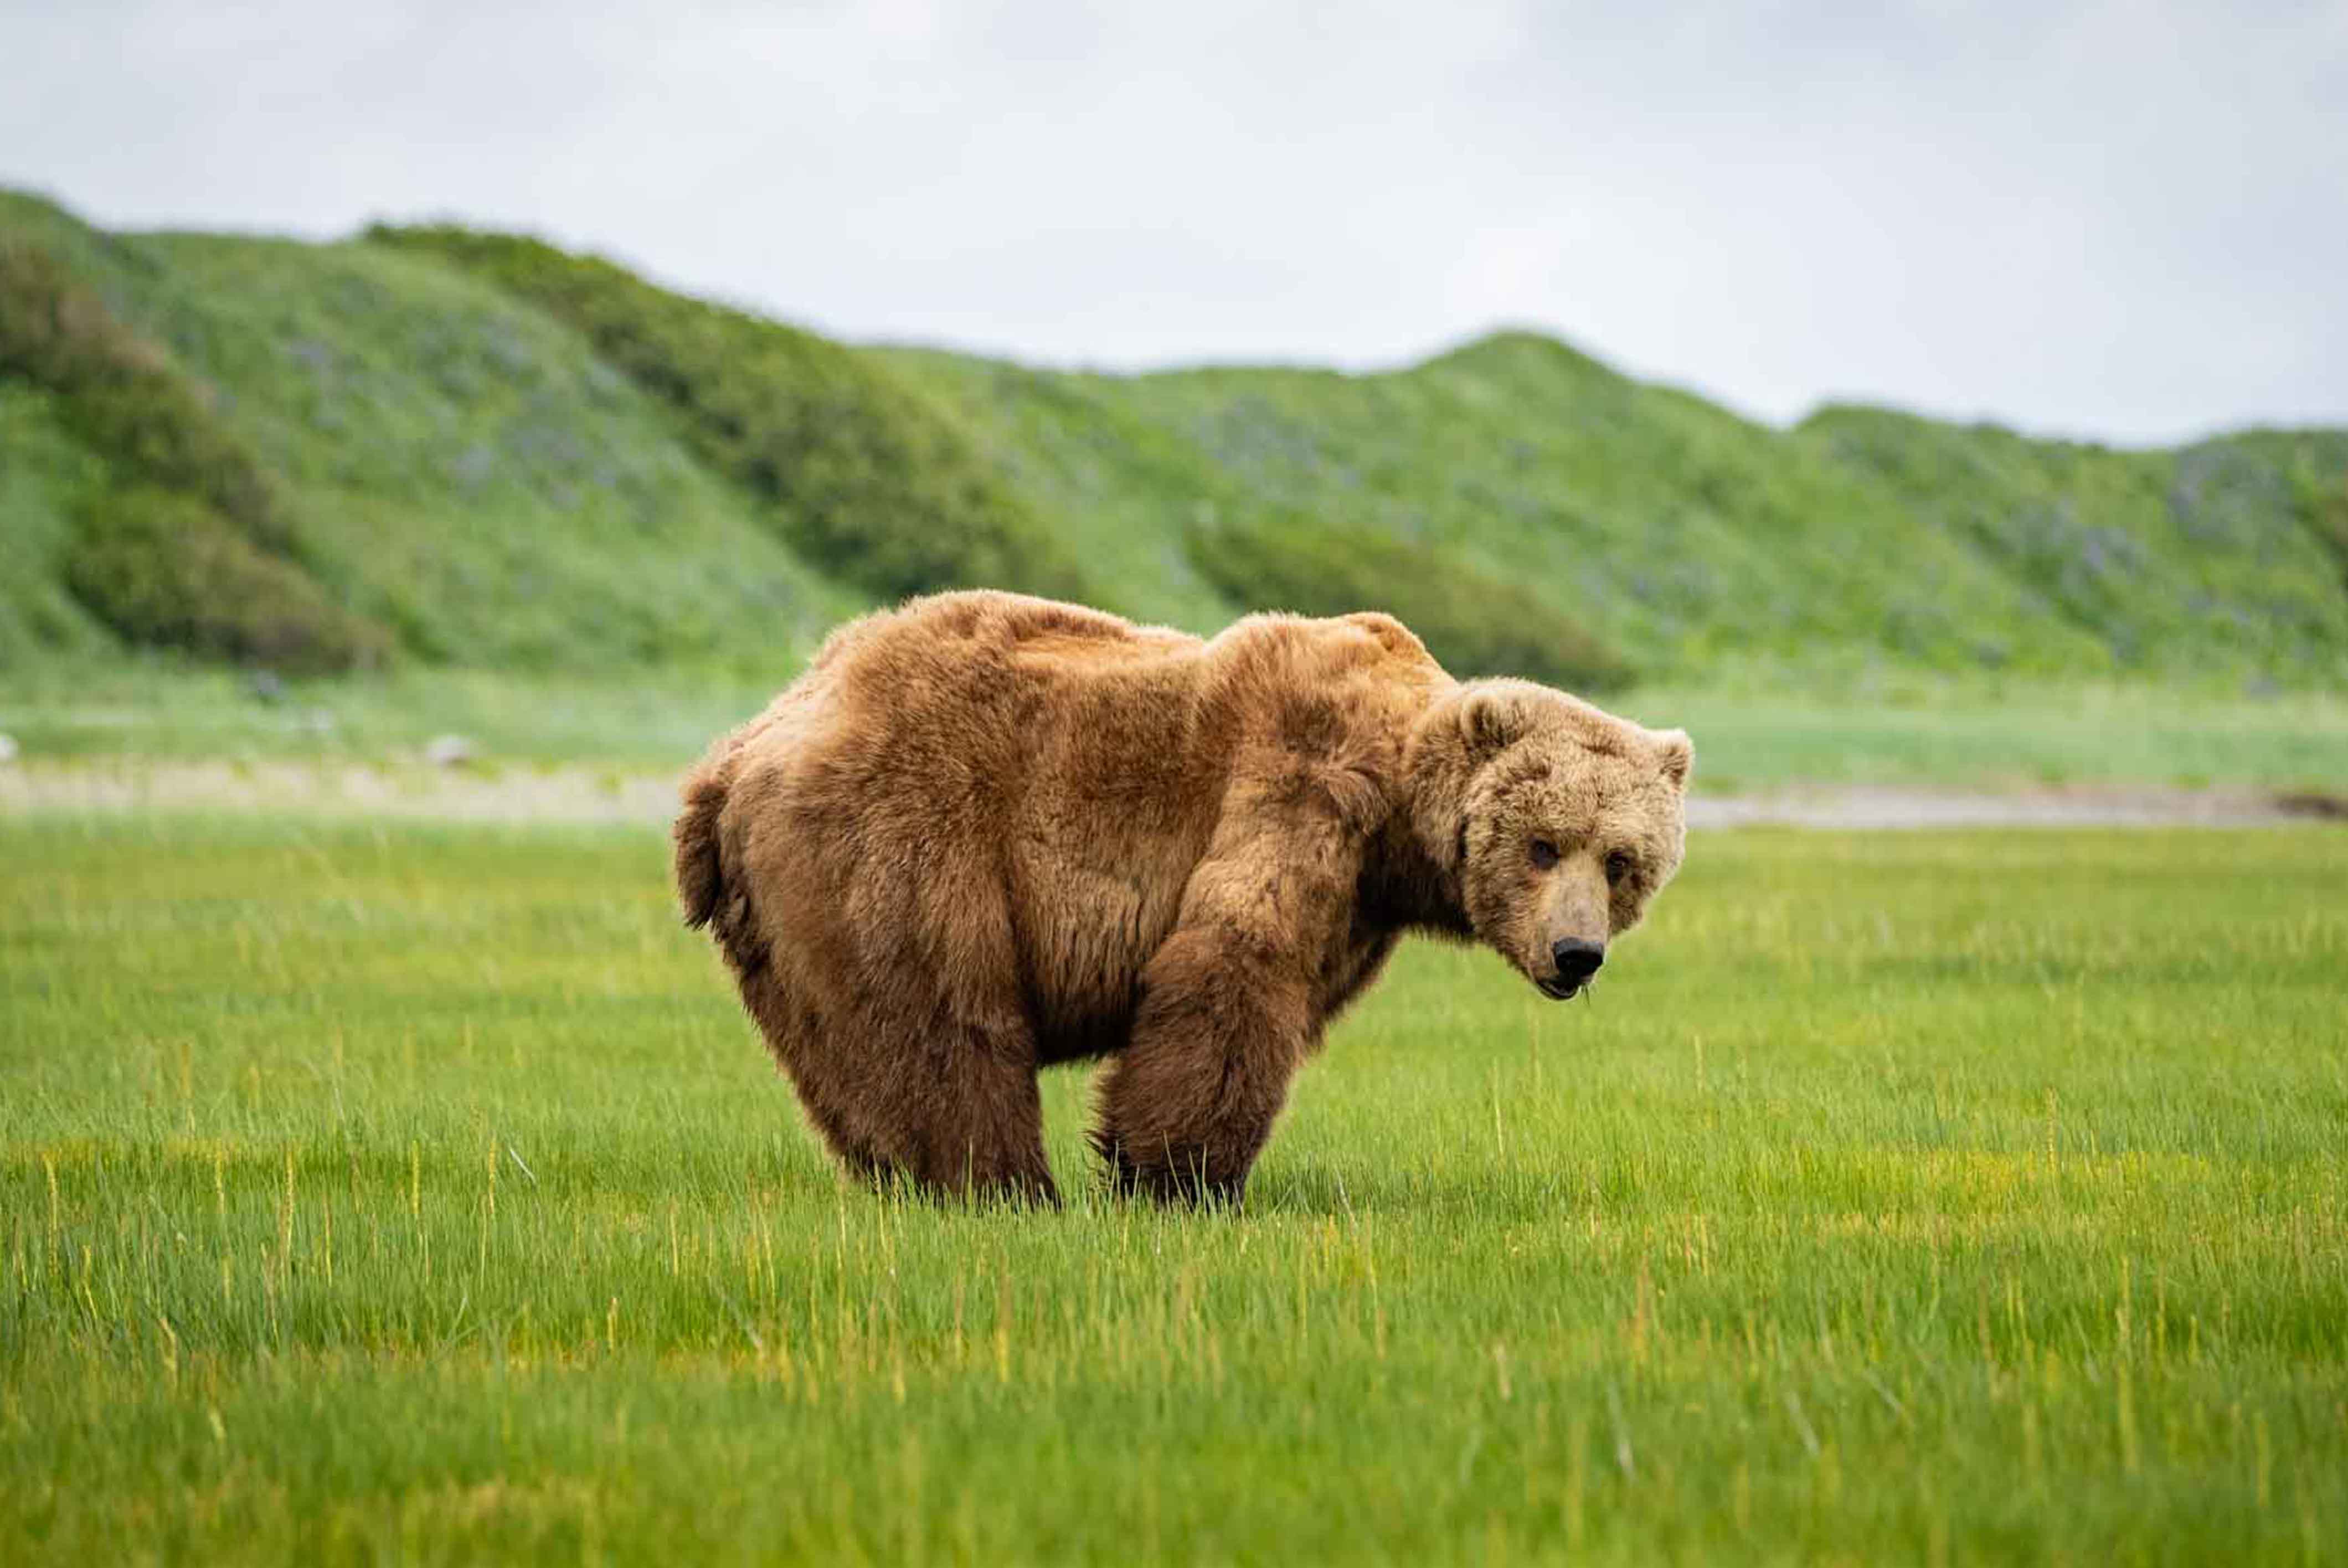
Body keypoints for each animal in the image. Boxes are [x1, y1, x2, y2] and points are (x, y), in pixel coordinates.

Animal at [673, 590, 1691, 1207]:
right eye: (1543, 844)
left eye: (1622, 860)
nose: (1576, 954)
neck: (1400, 822)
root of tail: (737, 752)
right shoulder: (1301, 784)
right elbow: (1229, 964)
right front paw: (1177, 1178)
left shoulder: (1359, 902)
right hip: (903, 831)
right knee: (942, 1016)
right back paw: (1003, 1186)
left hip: (784, 918)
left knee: (847, 1051)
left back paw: (904, 1177)